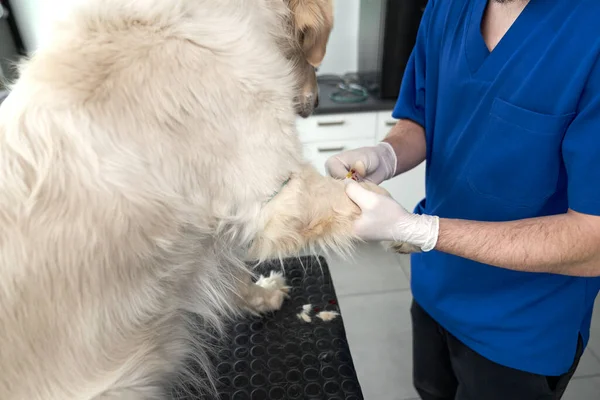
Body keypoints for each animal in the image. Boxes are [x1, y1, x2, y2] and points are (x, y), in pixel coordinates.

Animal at [0, 1, 390, 398]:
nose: (319, 101)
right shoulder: (277, 195)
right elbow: (370, 195)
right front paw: (402, 226)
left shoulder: (210, 238)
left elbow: (234, 276)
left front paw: (262, 297)